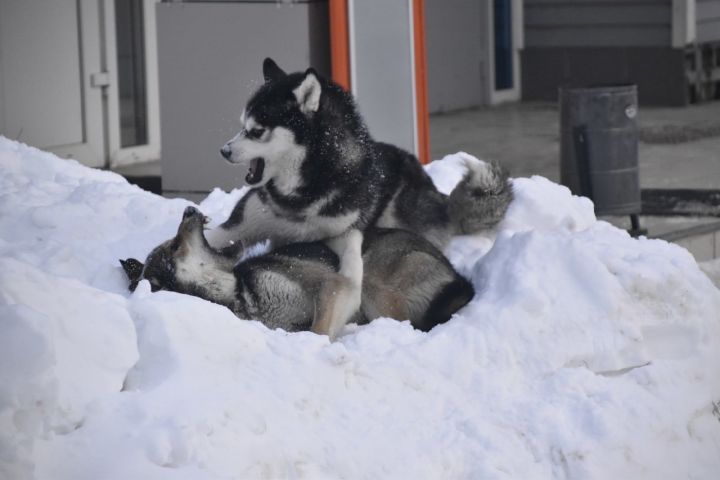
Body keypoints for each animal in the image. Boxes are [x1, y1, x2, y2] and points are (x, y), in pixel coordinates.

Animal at [121, 207, 476, 338]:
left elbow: (321, 326)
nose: (189, 209)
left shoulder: (330, 284)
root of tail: (454, 274)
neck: (241, 297)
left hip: (376, 292)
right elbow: (318, 333)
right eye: (175, 245)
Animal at [204, 58, 512, 336]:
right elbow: (212, 239)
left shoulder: (339, 235)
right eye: (242, 125)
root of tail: (436, 194)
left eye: (257, 131)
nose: (223, 151)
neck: (302, 192)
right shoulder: (241, 226)